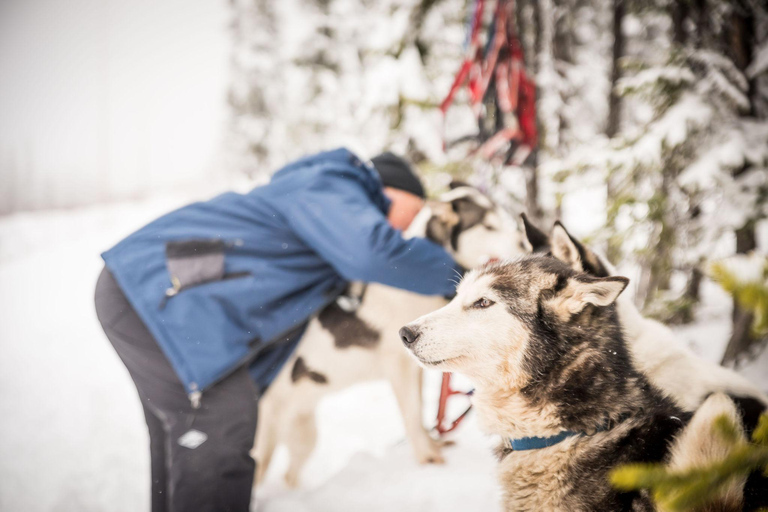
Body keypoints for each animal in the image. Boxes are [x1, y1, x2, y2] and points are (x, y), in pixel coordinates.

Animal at [254, 185, 528, 488]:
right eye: (489, 226)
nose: (524, 243)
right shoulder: (399, 368)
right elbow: (411, 414)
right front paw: (427, 457)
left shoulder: (415, 368)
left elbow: (418, 412)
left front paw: (432, 444)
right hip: (263, 450)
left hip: (304, 436)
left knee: (290, 474)